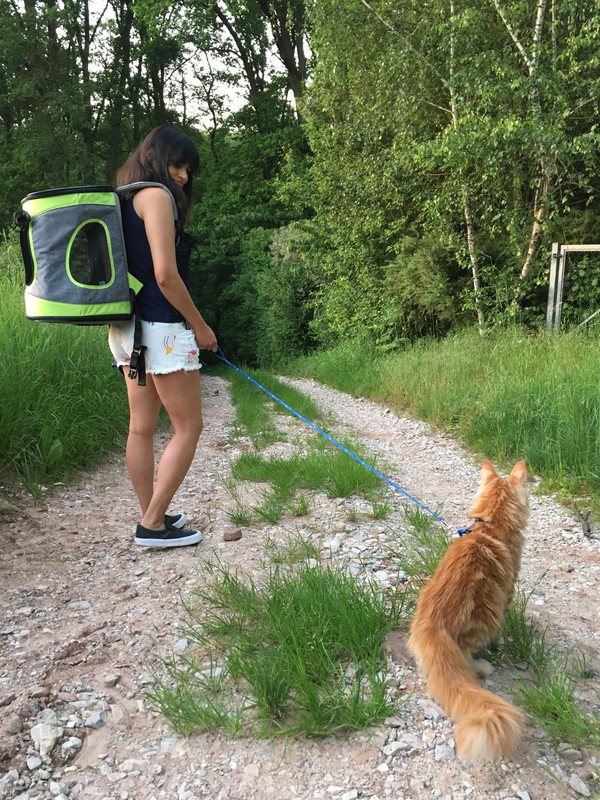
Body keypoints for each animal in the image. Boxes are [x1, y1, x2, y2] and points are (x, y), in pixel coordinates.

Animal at [408, 460, 528, 760]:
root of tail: (432, 624)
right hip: (487, 615)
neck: (491, 528)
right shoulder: (507, 593)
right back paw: (482, 666)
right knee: (467, 656)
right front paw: (500, 645)